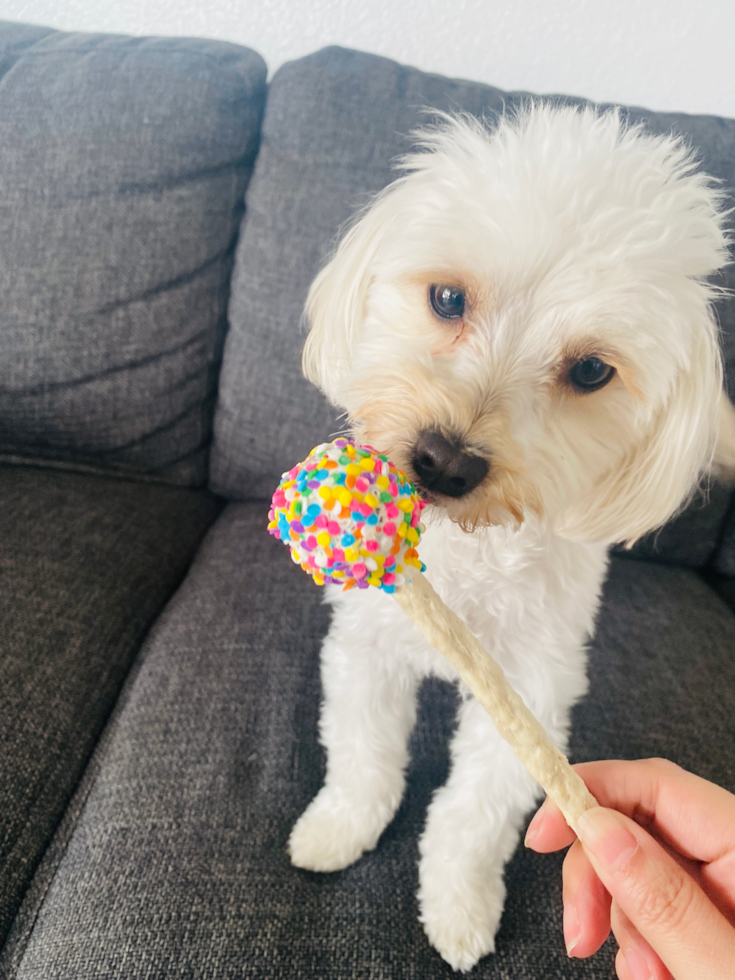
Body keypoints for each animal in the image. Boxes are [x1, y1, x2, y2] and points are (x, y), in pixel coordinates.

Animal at [288, 105, 735, 972]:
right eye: (446, 297)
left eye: (591, 371)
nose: (443, 460)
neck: (462, 559)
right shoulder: (368, 644)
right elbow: (362, 755)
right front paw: (338, 828)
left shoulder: (532, 685)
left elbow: (474, 813)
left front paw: (458, 908)